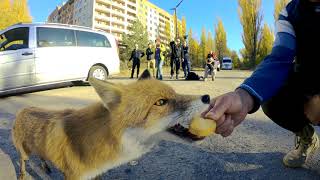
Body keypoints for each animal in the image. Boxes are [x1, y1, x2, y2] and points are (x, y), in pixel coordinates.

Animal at [12, 70, 211, 180]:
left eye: (175, 93)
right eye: (161, 102)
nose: (207, 97)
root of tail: (23, 109)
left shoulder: (96, 173)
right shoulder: (73, 176)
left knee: (41, 155)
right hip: (24, 153)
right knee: (22, 161)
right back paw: (22, 175)